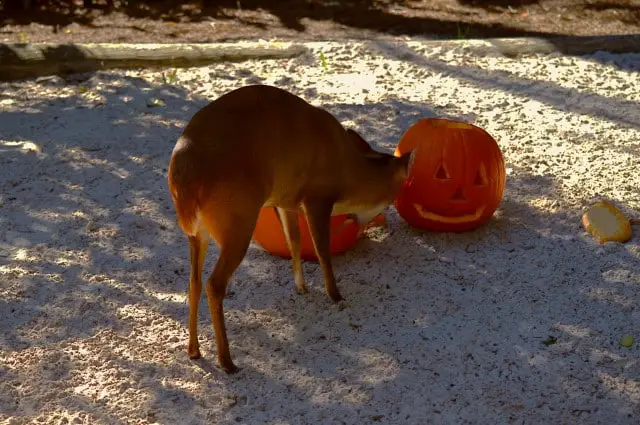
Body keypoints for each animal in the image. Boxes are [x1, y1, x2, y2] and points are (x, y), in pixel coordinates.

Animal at [168, 83, 412, 372]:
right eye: (402, 186)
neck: (348, 175)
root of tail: (185, 182)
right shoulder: (317, 197)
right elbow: (321, 250)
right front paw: (335, 295)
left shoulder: (285, 199)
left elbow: (294, 239)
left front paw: (301, 287)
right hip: (238, 220)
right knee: (214, 284)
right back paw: (227, 362)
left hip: (197, 233)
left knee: (193, 280)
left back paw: (194, 351)